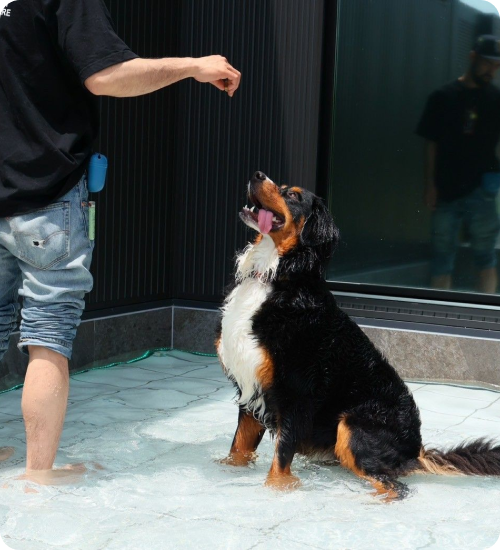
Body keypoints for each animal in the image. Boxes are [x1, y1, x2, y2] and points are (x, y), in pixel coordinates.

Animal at [217, 171, 500, 500]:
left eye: (293, 195)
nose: (257, 174)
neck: (275, 275)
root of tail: (414, 450)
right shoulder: (250, 389)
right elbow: (239, 449)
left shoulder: (295, 395)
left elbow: (280, 462)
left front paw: (277, 491)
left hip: (353, 426)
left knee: (393, 486)